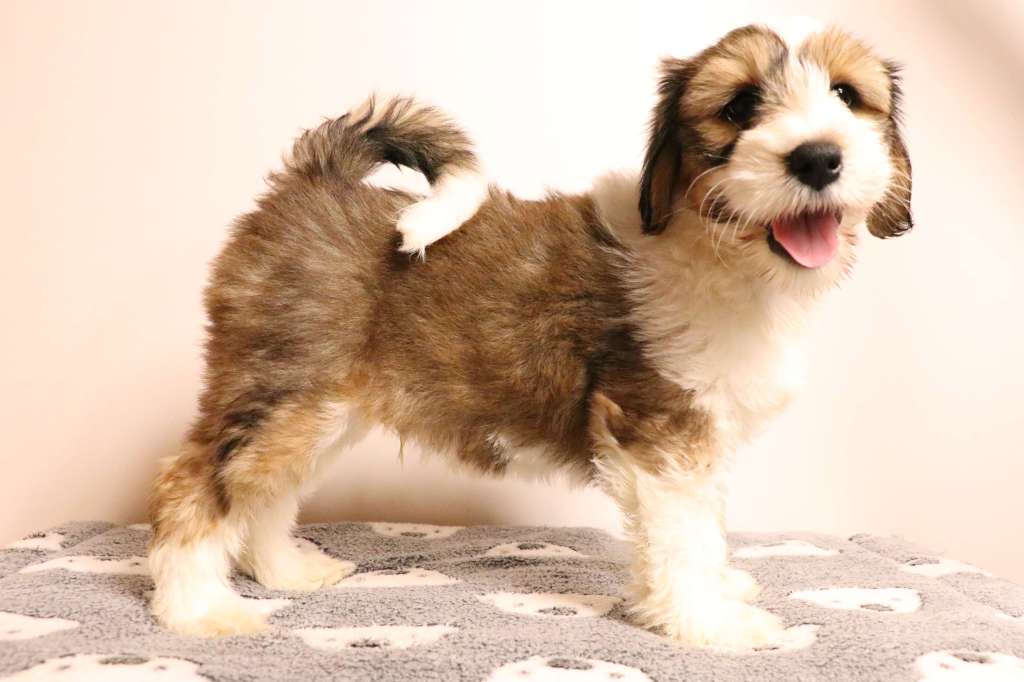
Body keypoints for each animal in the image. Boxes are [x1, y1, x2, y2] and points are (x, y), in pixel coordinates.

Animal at [148, 19, 911, 649]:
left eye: (847, 96)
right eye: (741, 107)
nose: (817, 158)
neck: (720, 251)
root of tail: (318, 175)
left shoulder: (704, 432)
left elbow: (707, 527)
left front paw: (717, 590)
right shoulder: (662, 432)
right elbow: (685, 536)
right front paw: (710, 623)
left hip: (325, 406)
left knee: (264, 488)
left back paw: (281, 571)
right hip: (285, 387)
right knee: (198, 481)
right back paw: (195, 608)